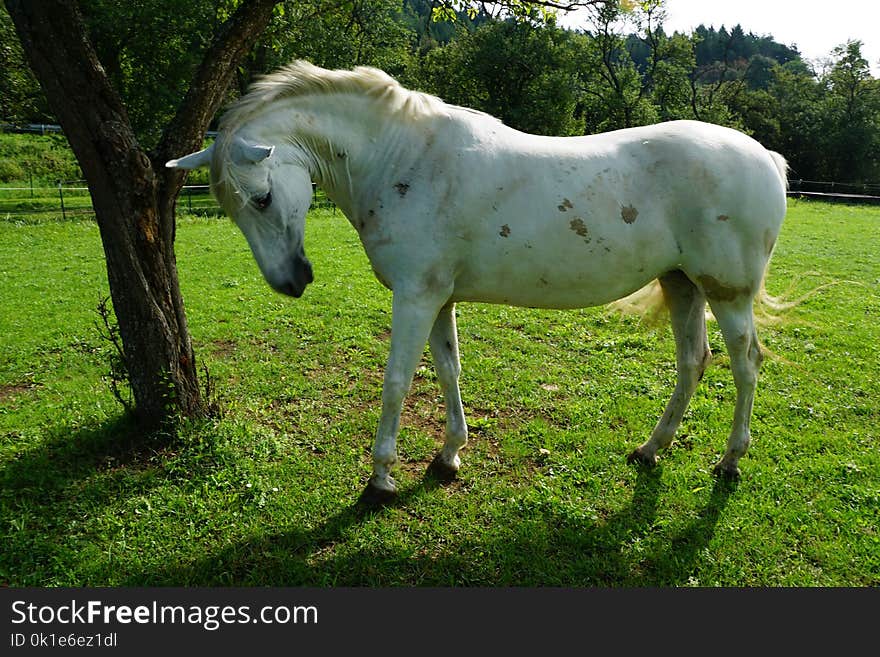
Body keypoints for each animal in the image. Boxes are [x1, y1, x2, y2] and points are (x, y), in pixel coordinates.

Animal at [168, 61, 788, 502]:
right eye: (233, 208)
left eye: (262, 197)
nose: (290, 281)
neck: (402, 159)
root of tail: (767, 157)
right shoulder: (438, 299)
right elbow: (448, 370)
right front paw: (448, 456)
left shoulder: (415, 297)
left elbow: (396, 382)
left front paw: (380, 478)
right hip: (681, 283)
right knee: (693, 363)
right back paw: (650, 449)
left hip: (727, 293)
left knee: (745, 365)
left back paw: (730, 460)